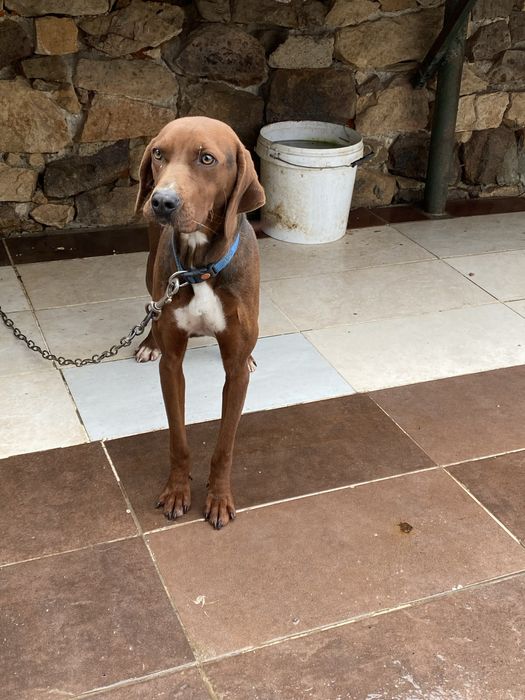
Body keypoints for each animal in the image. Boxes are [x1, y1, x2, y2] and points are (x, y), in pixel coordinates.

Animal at [134, 117, 265, 529]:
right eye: (159, 153)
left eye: (206, 158)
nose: (162, 201)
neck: (200, 267)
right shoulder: (172, 366)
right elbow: (178, 439)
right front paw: (177, 491)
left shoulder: (235, 373)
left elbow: (224, 447)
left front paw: (219, 498)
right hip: (150, 266)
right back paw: (147, 342)